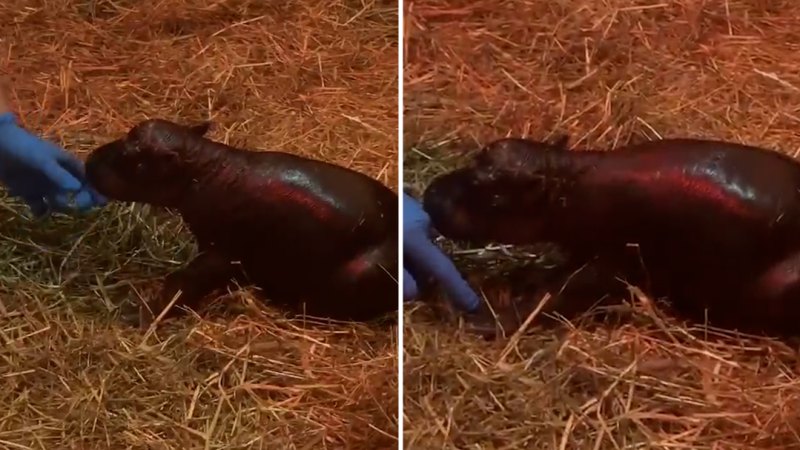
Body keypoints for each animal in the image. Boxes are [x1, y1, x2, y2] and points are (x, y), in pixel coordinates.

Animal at [86, 118, 398, 328]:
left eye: (136, 161)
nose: (89, 161)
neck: (203, 170)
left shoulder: (221, 252)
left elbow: (183, 282)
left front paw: (141, 314)